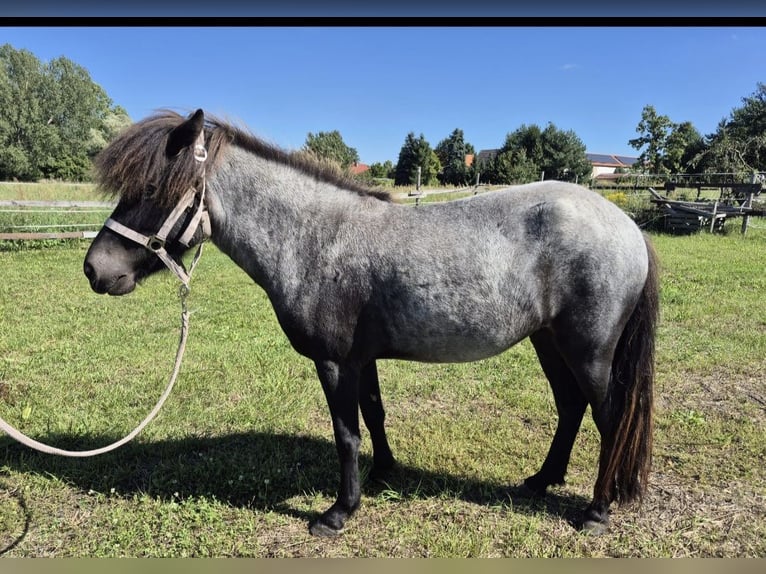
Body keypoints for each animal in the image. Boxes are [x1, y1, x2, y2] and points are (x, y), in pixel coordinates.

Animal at [83, 109, 659, 537]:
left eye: (153, 187)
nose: (95, 269)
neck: (313, 237)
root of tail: (627, 225)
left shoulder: (335, 362)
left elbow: (346, 433)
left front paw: (339, 512)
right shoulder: (362, 360)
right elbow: (375, 416)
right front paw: (382, 475)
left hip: (588, 350)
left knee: (609, 418)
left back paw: (596, 511)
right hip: (549, 342)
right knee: (570, 407)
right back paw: (542, 479)